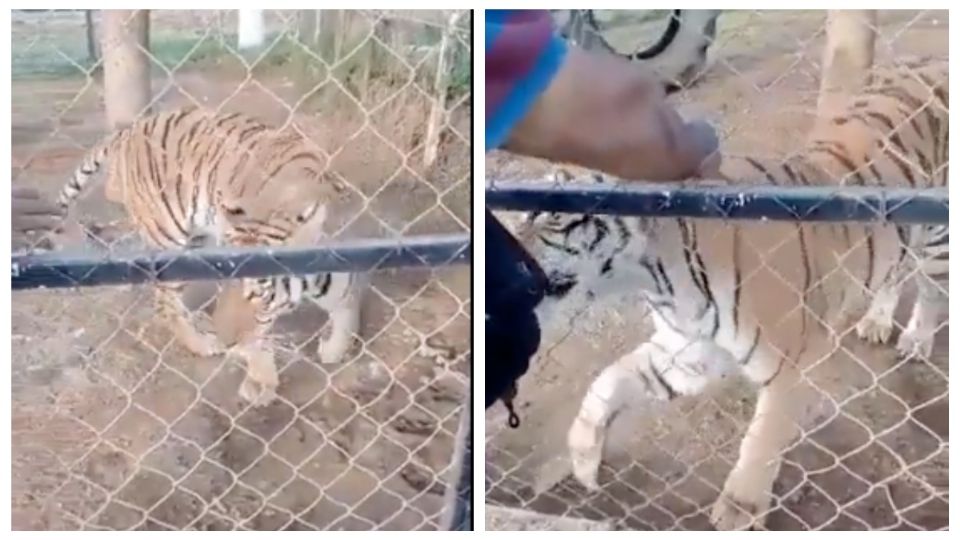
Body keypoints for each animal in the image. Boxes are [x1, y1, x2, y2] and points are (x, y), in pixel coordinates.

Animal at [57, 106, 364, 404]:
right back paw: (202, 344)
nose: (228, 342)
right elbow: (260, 336)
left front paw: (337, 346)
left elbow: (342, 289)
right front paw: (260, 380)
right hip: (170, 239)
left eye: (258, 294)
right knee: (165, 303)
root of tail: (129, 131)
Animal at [512, 58, 948, 528]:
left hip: (937, 237)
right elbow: (607, 380)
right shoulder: (687, 352)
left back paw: (916, 339)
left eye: (547, 213)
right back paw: (876, 321)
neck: (655, 279)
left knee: (931, 290)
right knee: (894, 269)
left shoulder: (788, 363)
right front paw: (582, 455)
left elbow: (761, 439)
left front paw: (738, 511)